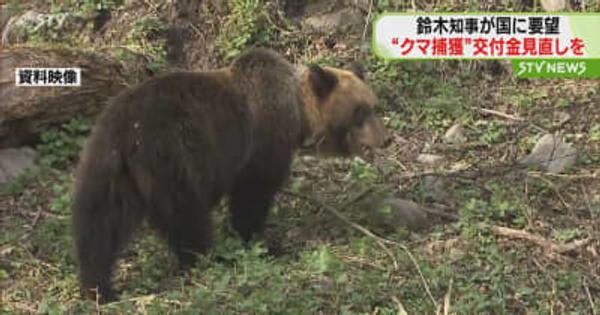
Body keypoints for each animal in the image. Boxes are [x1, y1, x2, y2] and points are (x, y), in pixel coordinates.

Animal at [71, 48, 390, 302]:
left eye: (373, 106)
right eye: (359, 112)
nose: (384, 139)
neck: (298, 112)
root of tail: (127, 133)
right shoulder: (262, 141)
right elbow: (253, 193)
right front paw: (260, 242)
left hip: (107, 168)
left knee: (99, 224)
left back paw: (98, 288)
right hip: (171, 158)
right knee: (186, 215)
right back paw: (205, 258)